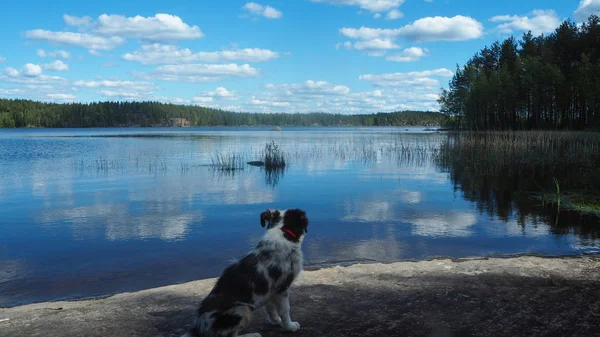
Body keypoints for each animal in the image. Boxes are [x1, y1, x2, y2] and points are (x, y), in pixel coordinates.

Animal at [182, 207, 310, 336]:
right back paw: (253, 334)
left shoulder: (270, 290)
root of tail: (198, 328)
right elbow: (285, 310)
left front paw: (275, 320)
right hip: (242, 310)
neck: (282, 232)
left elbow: (270, 308)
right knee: (229, 335)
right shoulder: (282, 287)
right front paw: (290, 326)